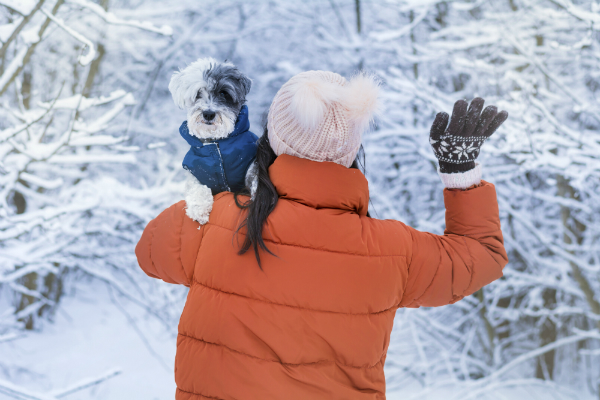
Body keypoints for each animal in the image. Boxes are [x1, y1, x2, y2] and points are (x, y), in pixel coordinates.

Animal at [168, 57, 256, 223]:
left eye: (223, 92)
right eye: (197, 94)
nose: (208, 114)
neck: (215, 142)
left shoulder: (250, 160)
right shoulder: (195, 172)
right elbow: (197, 188)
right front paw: (199, 209)